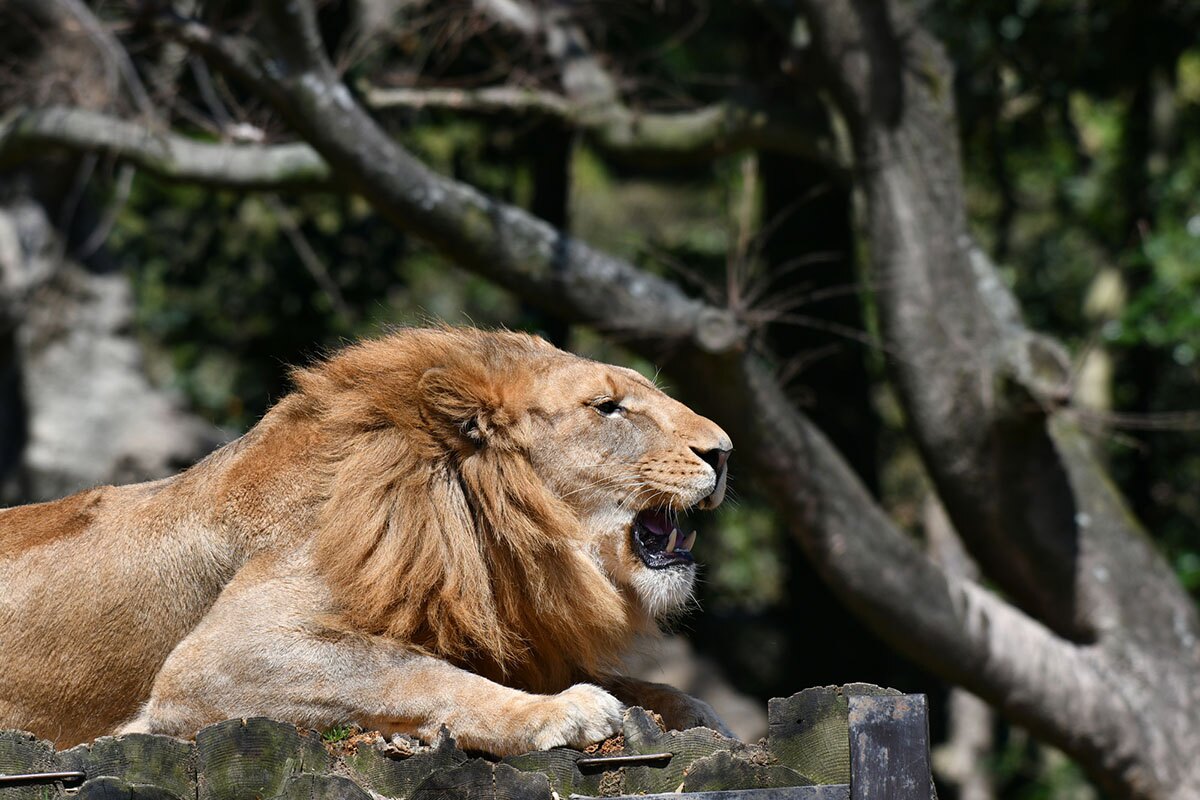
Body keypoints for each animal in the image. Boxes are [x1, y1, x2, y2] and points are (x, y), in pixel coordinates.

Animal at [0, 326, 729, 758]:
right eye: (607, 408)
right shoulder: (214, 661)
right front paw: (558, 712)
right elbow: (413, 672)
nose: (723, 451)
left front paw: (690, 712)